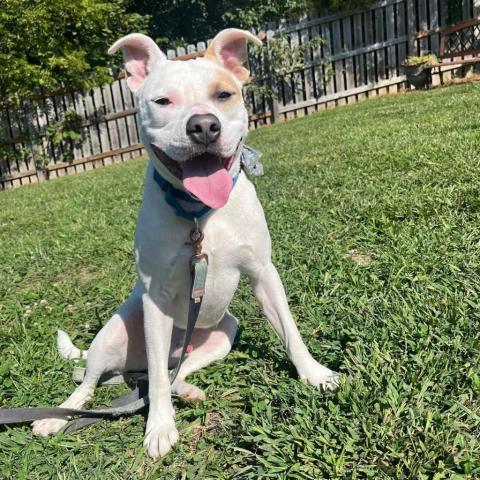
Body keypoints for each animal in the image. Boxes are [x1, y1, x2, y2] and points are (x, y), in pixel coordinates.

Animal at [31, 29, 340, 458]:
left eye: (223, 95)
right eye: (163, 101)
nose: (204, 126)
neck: (198, 212)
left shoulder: (263, 274)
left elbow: (291, 333)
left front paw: (314, 374)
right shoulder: (156, 299)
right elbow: (157, 384)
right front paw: (160, 427)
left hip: (219, 338)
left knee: (166, 375)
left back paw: (189, 390)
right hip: (114, 335)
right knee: (98, 379)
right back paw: (56, 416)